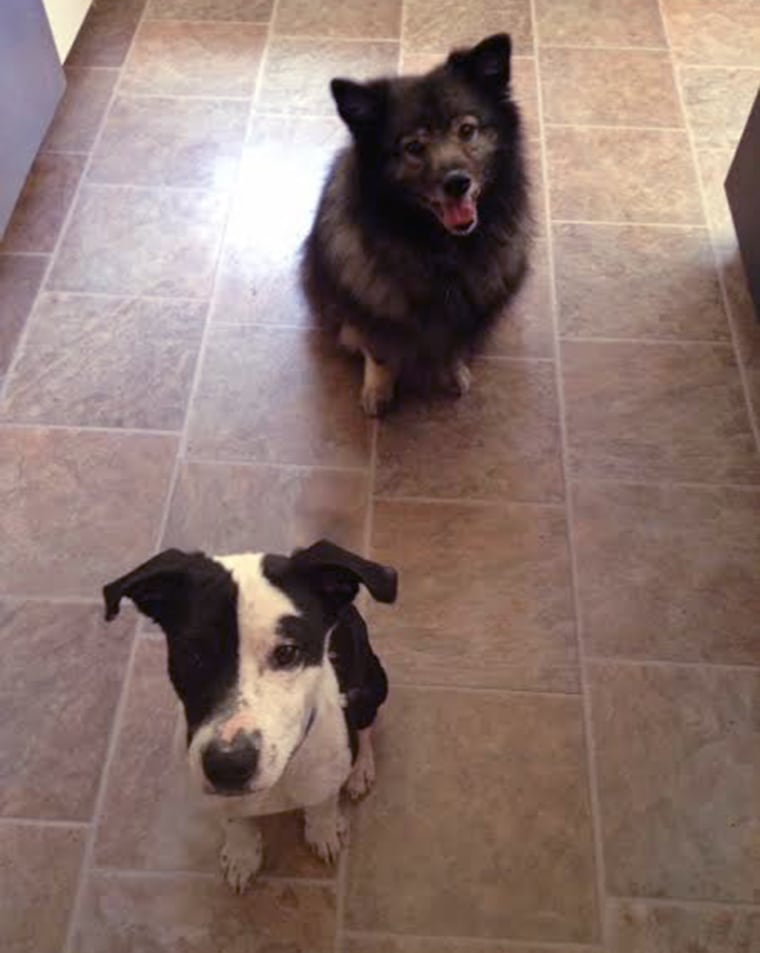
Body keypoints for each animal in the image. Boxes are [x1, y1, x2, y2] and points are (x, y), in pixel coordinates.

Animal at [103, 544, 398, 892]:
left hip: (372, 684)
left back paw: (360, 769)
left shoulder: (324, 777)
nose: (228, 765)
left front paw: (323, 830)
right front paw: (242, 853)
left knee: (365, 726)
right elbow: (235, 820)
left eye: (287, 652)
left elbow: (322, 806)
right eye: (192, 654)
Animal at [302, 34, 528, 412]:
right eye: (413, 146)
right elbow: (378, 352)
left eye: (467, 129)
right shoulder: (371, 307)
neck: (439, 247)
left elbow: (453, 347)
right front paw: (378, 391)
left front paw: (453, 372)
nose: (457, 182)